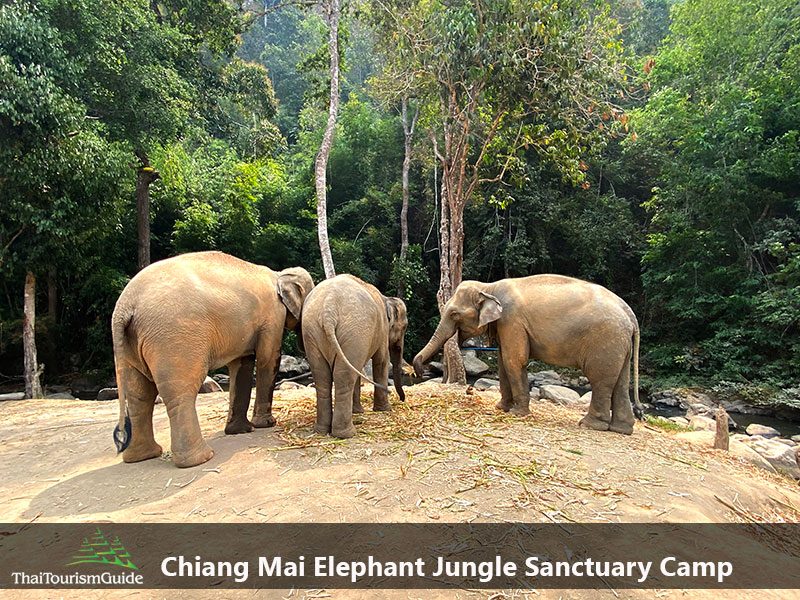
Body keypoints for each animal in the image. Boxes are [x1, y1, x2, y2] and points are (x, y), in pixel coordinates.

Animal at [110, 251, 316, 466]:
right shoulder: (272, 315)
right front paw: (266, 424)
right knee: (180, 391)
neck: (279, 274)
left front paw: (240, 431)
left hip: (130, 344)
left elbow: (243, 364)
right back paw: (200, 459)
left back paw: (143, 456)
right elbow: (267, 359)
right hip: (174, 337)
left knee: (139, 395)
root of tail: (125, 307)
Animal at [300, 274, 406, 438]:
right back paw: (345, 433)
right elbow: (381, 361)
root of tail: (328, 310)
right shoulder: (381, 331)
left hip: (311, 332)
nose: (402, 399)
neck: (385, 298)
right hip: (354, 331)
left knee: (322, 376)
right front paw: (384, 409)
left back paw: (321, 431)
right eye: (405, 327)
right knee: (344, 376)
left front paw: (358, 411)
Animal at [412, 274, 644, 434]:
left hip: (606, 341)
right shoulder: (505, 326)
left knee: (600, 381)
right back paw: (622, 429)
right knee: (620, 383)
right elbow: (503, 362)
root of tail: (630, 313)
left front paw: (517, 414)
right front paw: (501, 408)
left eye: (454, 314)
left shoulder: (511, 321)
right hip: (618, 345)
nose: (418, 371)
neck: (489, 287)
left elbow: (513, 360)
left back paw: (589, 425)